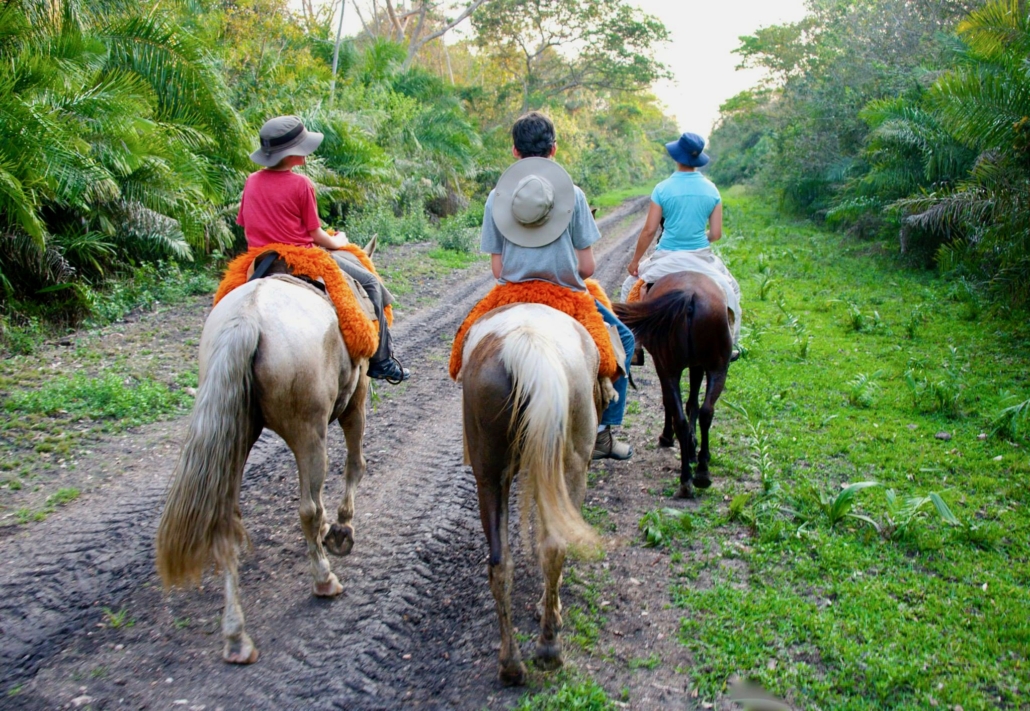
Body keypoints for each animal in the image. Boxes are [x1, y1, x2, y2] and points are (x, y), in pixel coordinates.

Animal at [154, 241, 376, 663]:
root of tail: (248, 319)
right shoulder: (355, 399)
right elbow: (354, 465)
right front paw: (341, 529)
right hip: (308, 431)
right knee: (308, 508)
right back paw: (323, 579)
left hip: (235, 433)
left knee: (225, 521)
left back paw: (236, 636)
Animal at [461, 302, 605, 680]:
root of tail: (526, 346)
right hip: (570, 464)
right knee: (556, 546)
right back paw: (549, 646)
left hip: (489, 474)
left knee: (501, 563)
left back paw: (511, 663)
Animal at [609, 272, 733, 498]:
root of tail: (690, 296)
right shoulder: (691, 366)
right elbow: (688, 404)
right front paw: (688, 448)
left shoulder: (686, 366)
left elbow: (684, 404)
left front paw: (685, 446)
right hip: (714, 368)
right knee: (703, 413)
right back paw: (696, 473)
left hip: (677, 367)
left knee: (692, 414)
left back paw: (692, 474)